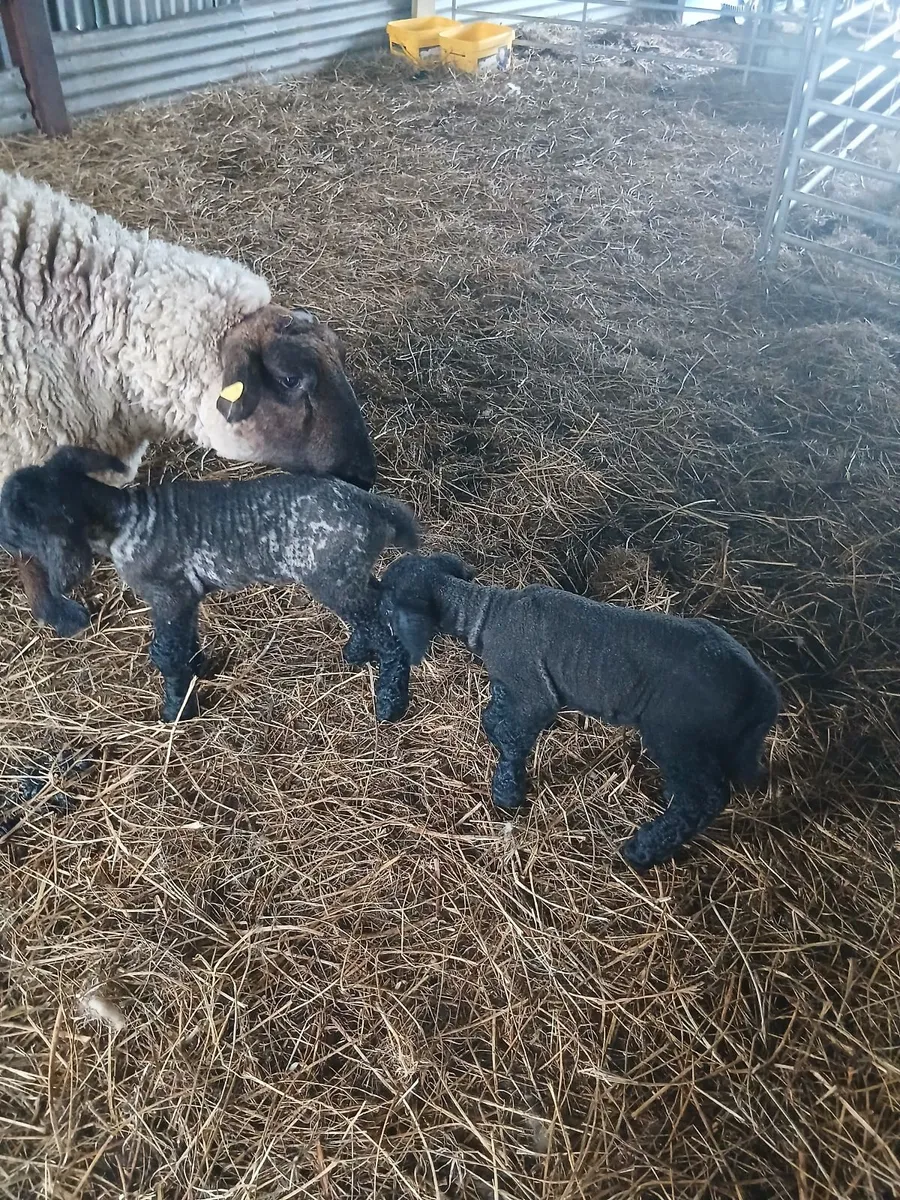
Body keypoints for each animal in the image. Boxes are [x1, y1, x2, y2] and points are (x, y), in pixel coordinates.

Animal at [0, 447, 419, 724]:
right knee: (376, 609)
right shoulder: (185, 596)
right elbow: (185, 640)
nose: (3, 538)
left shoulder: (168, 594)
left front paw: (176, 711)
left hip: (333, 577)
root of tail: (374, 507)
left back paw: (390, 704)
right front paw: (198, 670)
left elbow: (165, 653)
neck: (125, 520)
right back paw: (357, 651)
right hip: (350, 574)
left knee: (388, 636)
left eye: (16, 519)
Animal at [378, 553, 780, 869]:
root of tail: (764, 693)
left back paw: (643, 851)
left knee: (703, 799)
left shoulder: (533, 692)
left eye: (388, 598)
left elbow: (514, 738)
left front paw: (507, 795)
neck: (487, 614)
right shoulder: (509, 686)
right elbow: (495, 719)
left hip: (677, 733)